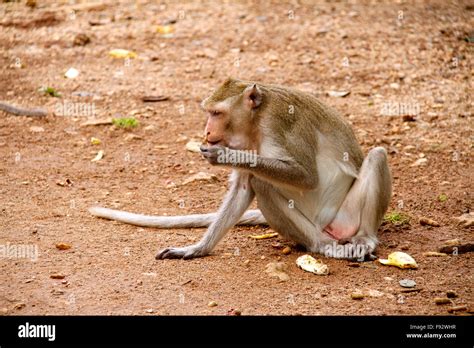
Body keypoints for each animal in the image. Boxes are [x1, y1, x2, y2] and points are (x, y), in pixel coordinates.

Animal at [89, 77, 392, 260]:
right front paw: (196, 249)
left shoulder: (280, 124)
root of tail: (329, 228)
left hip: (346, 217)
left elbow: (307, 177)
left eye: (216, 113)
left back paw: (362, 239)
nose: (207, 131)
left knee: (377, 156)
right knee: (262, 183)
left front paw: (225, 156)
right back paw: (320, 244)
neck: (256, 122)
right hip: (315, 224)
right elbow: (244, 187)